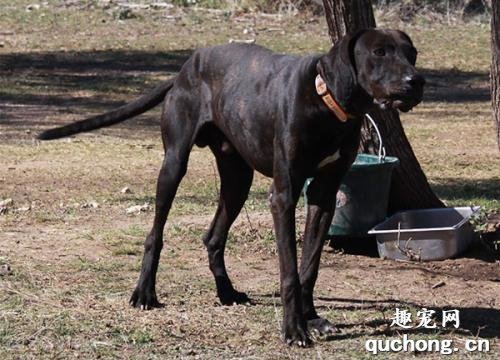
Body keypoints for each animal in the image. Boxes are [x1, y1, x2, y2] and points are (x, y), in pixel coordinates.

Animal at [38, 28, 422, 346]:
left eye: (412, 53)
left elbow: (309, 266)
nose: (415, 80)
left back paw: (226, 291)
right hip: (173, 165)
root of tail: (186, 66)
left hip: (238, 179)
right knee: (155, 232)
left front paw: (311, 319)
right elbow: (288, 271)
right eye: (379, 52)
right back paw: (145, 293)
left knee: (213, 237)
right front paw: (293, 329)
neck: (327, 102)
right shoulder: (283, 195)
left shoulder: (325, 196)